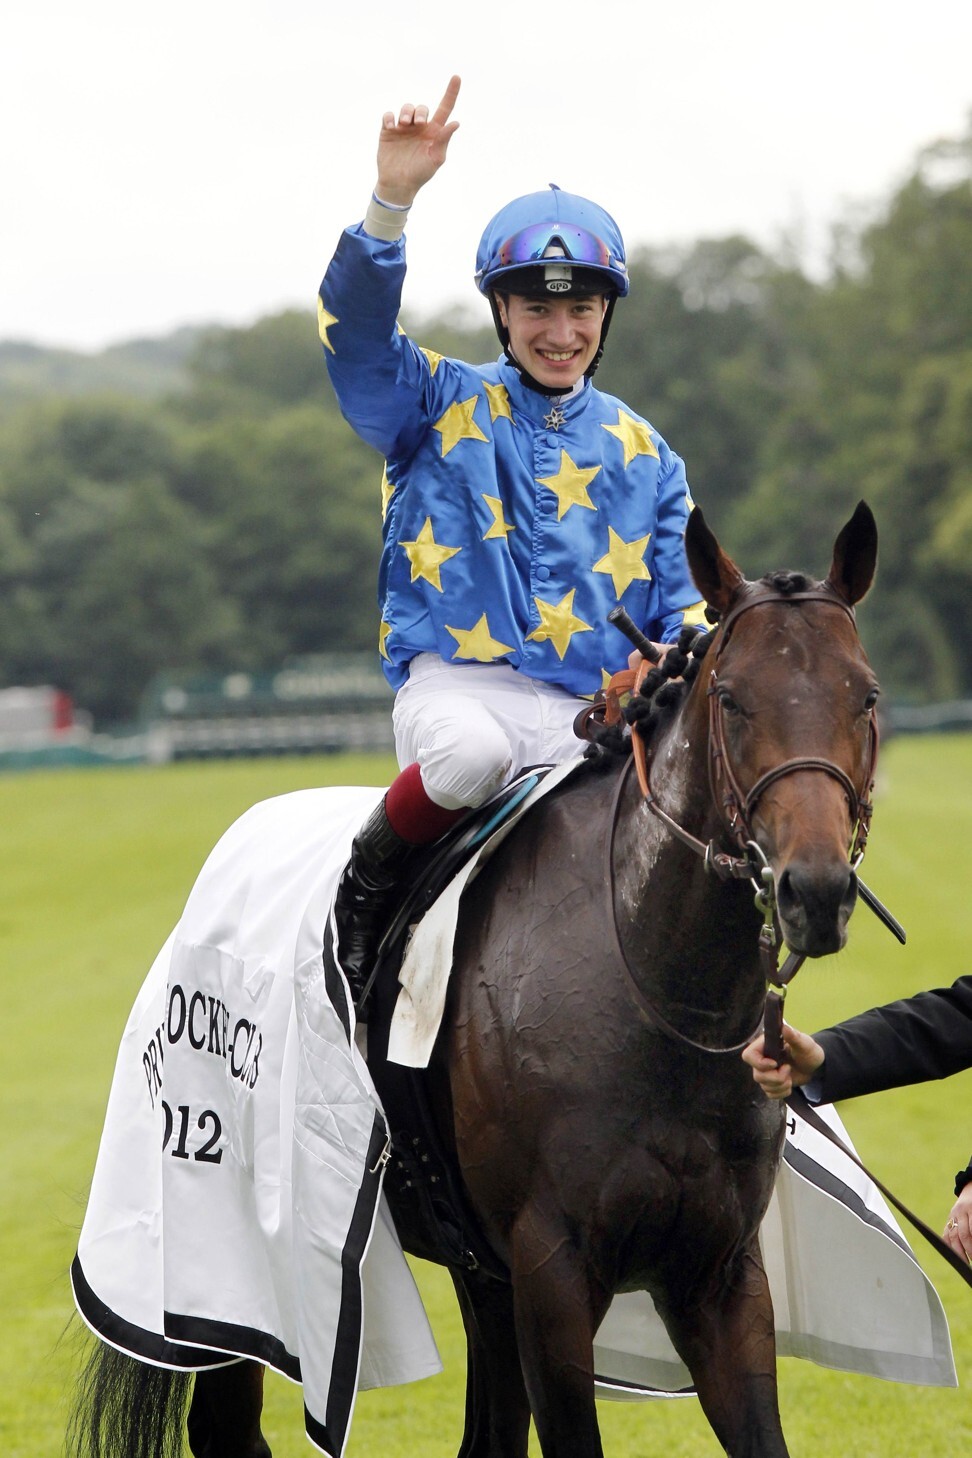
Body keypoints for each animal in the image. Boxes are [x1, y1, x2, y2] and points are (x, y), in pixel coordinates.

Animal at [70, 504, 880, 1458]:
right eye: (731, 698)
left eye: (865, 695)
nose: (814, 889)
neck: (653, 996)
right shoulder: (553, 1276)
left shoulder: (715, 1277)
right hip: (235, 1256)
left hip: (479, 1276)